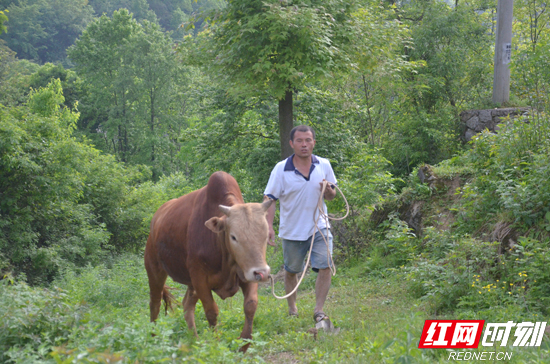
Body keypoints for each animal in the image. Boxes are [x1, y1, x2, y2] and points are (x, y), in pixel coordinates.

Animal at [144, 172, 274, 352]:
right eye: (233, 236)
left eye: (265, 234)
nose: (262, 272)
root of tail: (155, 220)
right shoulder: (200, 280)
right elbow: (212, 311)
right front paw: (216, 345)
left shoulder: (247, 273)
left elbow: (250, 305)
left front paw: (243, 344)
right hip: (155, 270)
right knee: (155, 303)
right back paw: (153, 338)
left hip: (190, 284)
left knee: (186, 305)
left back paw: (194, 340)